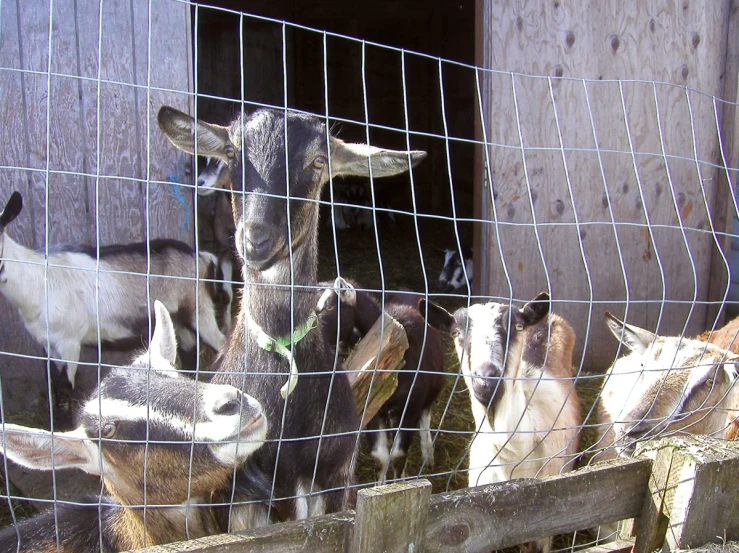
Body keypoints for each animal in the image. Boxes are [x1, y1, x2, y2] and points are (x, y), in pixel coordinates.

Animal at [318, 278, 446, 480]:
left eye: (330, 306)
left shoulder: (410, 407)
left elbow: (398, 456)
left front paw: (400, 482)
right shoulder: (373, 407)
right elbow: (381, 458)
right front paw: (381, 484)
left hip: (432, 390)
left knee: (426, 415)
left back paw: (428, 454)